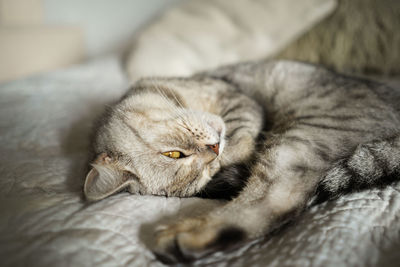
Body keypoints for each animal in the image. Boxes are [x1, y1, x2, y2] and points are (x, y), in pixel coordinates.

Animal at [83, 60, 400, 264]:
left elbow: (240, 131)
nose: (213, 150)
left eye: (173, 154)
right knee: (278, 202)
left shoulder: (236, 98)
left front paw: (236, 152)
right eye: (201, 172)